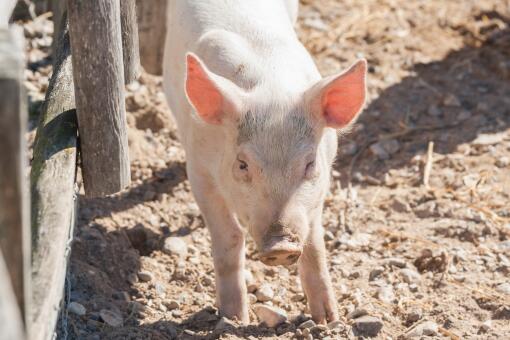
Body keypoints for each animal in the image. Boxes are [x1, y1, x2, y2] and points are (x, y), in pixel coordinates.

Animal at [163, 0, 366, 324]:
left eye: (310, 164)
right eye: (242, 164)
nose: (280, 244)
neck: (271, 87)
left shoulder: (322, 183)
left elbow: (314, 244)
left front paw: (328, 319)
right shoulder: (198, 168)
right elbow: (229, 238)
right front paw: (233, 319)